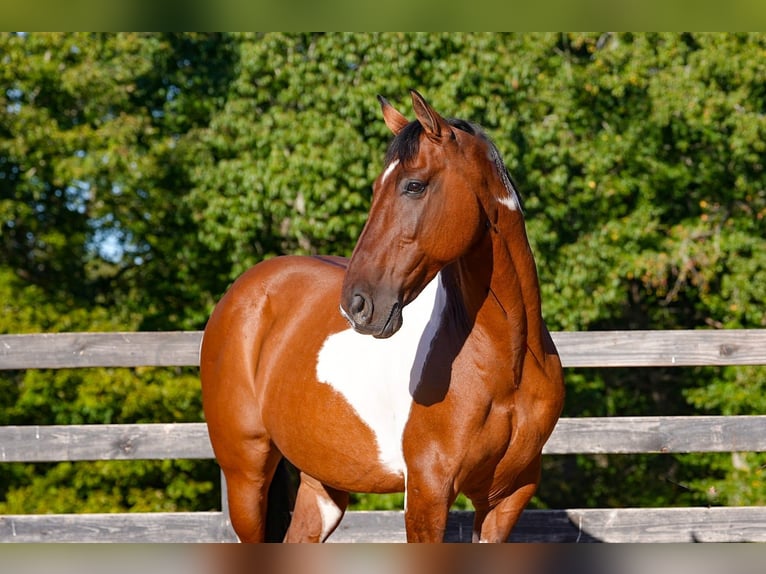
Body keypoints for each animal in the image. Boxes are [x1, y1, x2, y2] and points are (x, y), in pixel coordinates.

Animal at [200, 91, 565, 543]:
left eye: (414, 185)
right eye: (377, 188)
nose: (357, 304)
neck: (507, 362)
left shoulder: (507, 497)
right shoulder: (427, 493)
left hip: (323, 483)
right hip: (246, 477)